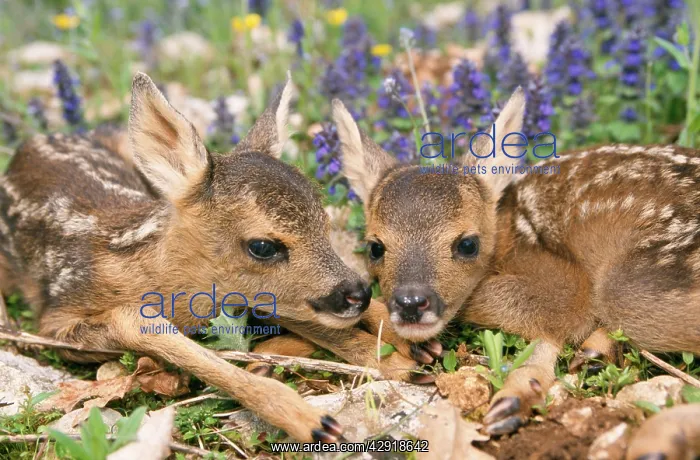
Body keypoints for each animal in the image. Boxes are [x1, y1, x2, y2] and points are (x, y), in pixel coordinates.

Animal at [0, 71, 439, 444]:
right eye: (263, 246)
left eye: (323, 221)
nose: (356, 295)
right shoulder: (57, 322)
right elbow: (140, 325)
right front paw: (314, 420)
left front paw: (401, 348)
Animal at [331, 88, 700, 459]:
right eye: (375, 247)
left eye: (468, 244)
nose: (411, 303)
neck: (508, 232)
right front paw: (517, 396)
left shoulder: (567, 284)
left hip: (630, 286)